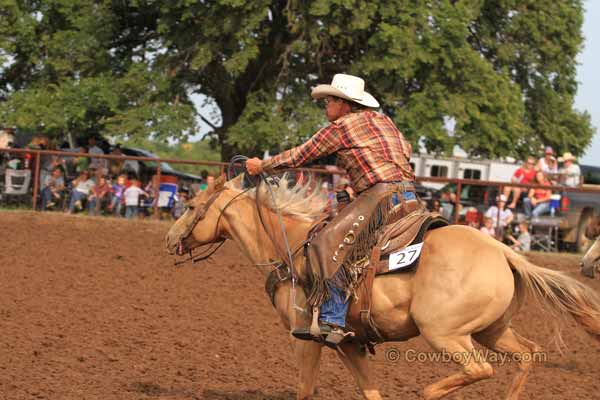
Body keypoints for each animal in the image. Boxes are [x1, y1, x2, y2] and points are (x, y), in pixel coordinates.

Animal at [166, 176, 600, 400]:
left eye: (191, 207)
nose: (170, 239)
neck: (290, 246)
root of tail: (503, 251)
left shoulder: (305, 338)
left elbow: (305, 389)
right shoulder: (350, 343)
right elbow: (370, 391)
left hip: (444, 332)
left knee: (478, 368)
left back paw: (428, 392)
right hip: (492, 330)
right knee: (527, 355)